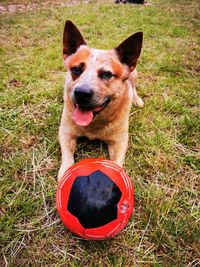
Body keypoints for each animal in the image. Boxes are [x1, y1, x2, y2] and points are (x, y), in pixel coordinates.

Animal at [57, 19, 144, 181]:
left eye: (106, 74)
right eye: (76, 69)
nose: (82, 93)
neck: (94, 124)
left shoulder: (120, 141)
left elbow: (117, 164)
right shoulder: (65, 132)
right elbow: (67, 157)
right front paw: (65, 172)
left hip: (134, 74)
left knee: (133, 87)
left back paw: (136, 99)